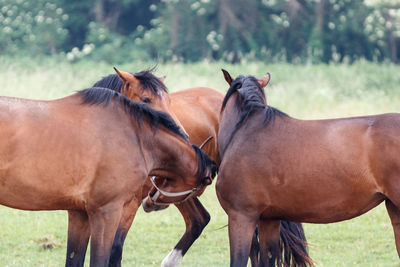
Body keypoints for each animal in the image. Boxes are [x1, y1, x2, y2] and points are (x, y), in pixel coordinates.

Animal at [89, 69, 310, 267]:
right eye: (145, 99)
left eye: (168, 101)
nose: (181, 134)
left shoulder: (128, 203)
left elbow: (114, 248)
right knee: (200, 220)